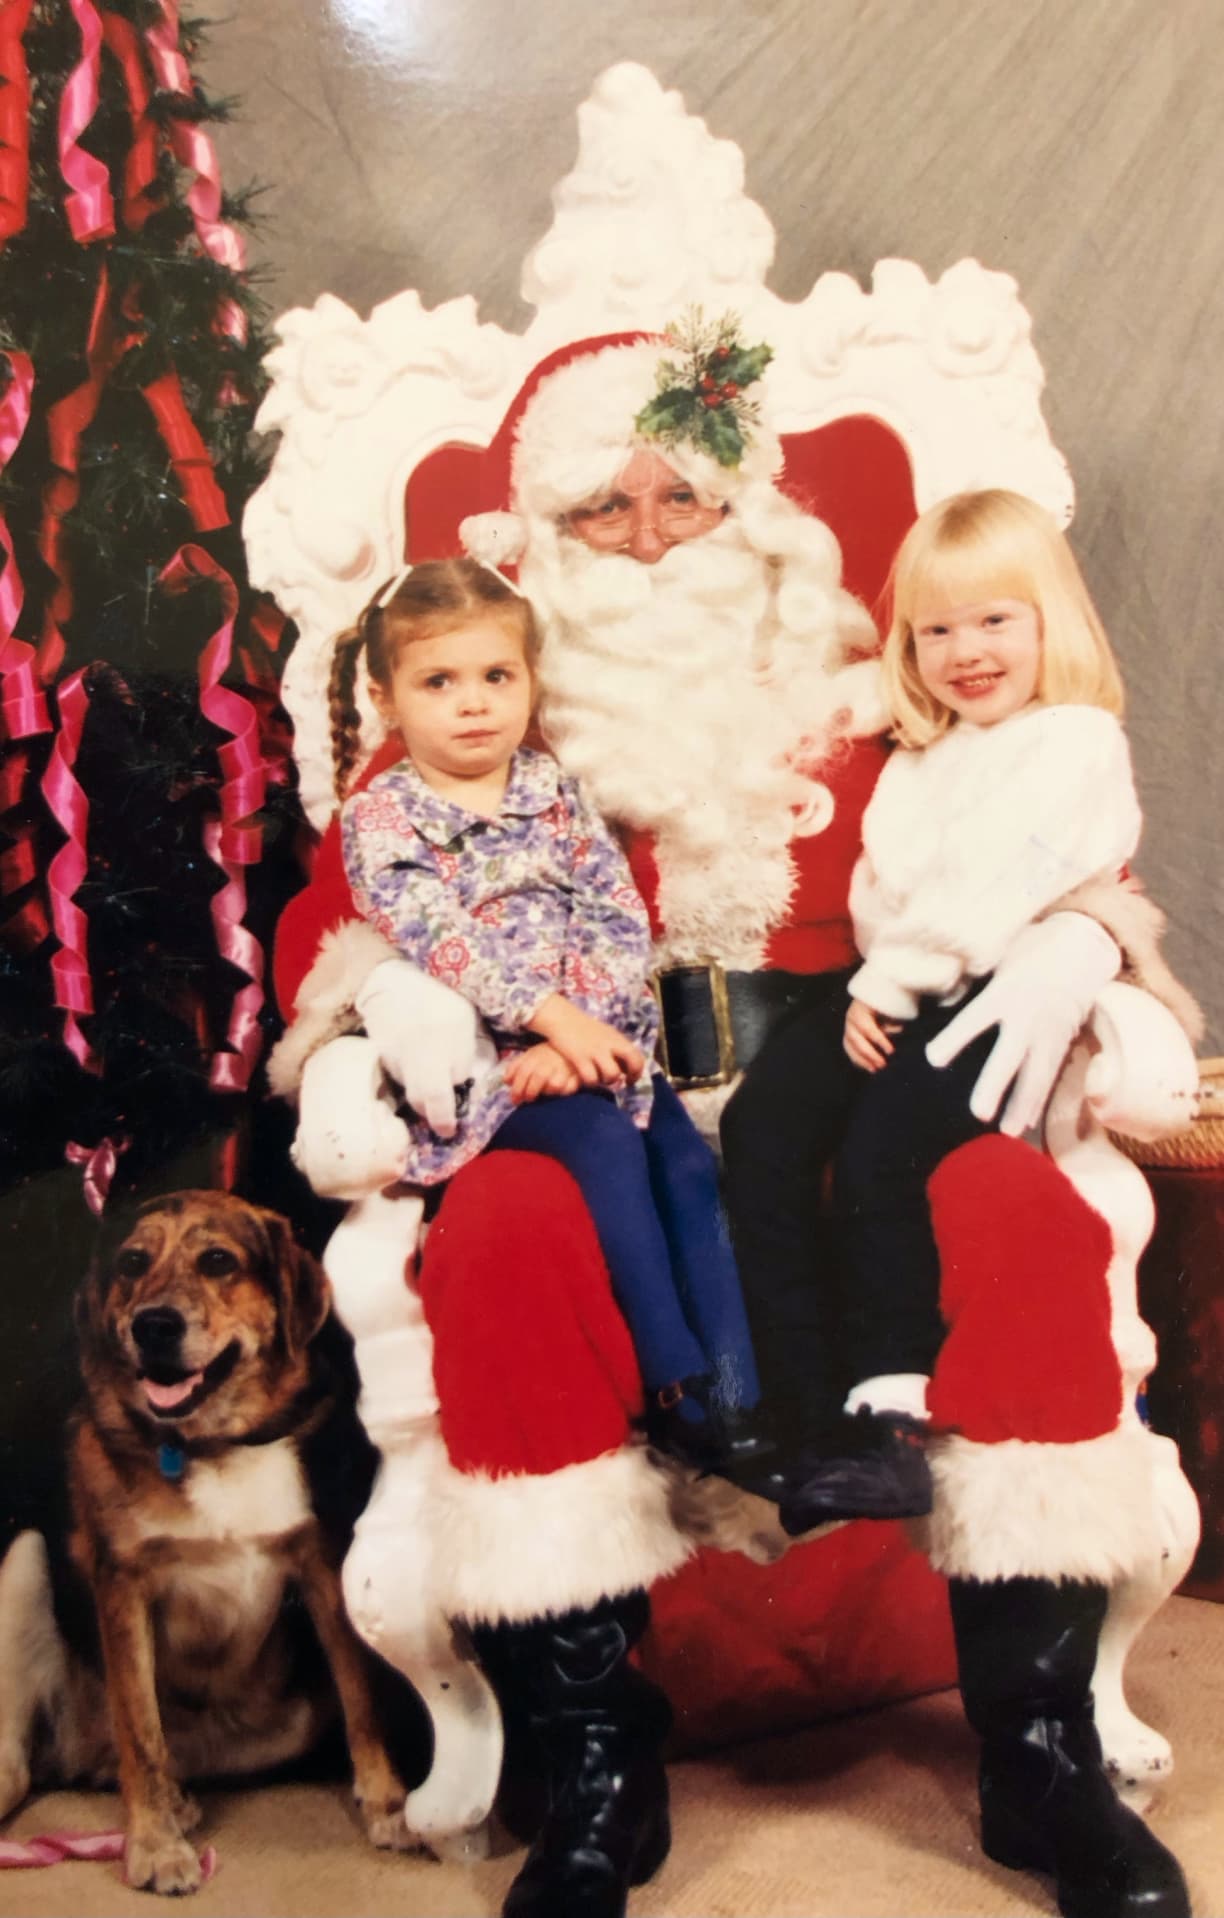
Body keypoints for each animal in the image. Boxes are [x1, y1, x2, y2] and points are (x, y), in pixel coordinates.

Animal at [0, 1189, 418, 1894]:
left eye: (218, 1261)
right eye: (132, 1263)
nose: (153, 1326)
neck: (211, 1443)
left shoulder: (321, 1564)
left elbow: (362, 1696)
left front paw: (389, 1806)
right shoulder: (122, 1585)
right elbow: (142, 1730)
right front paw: (155, 1847)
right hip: (24, 1561)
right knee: (38, 1759)